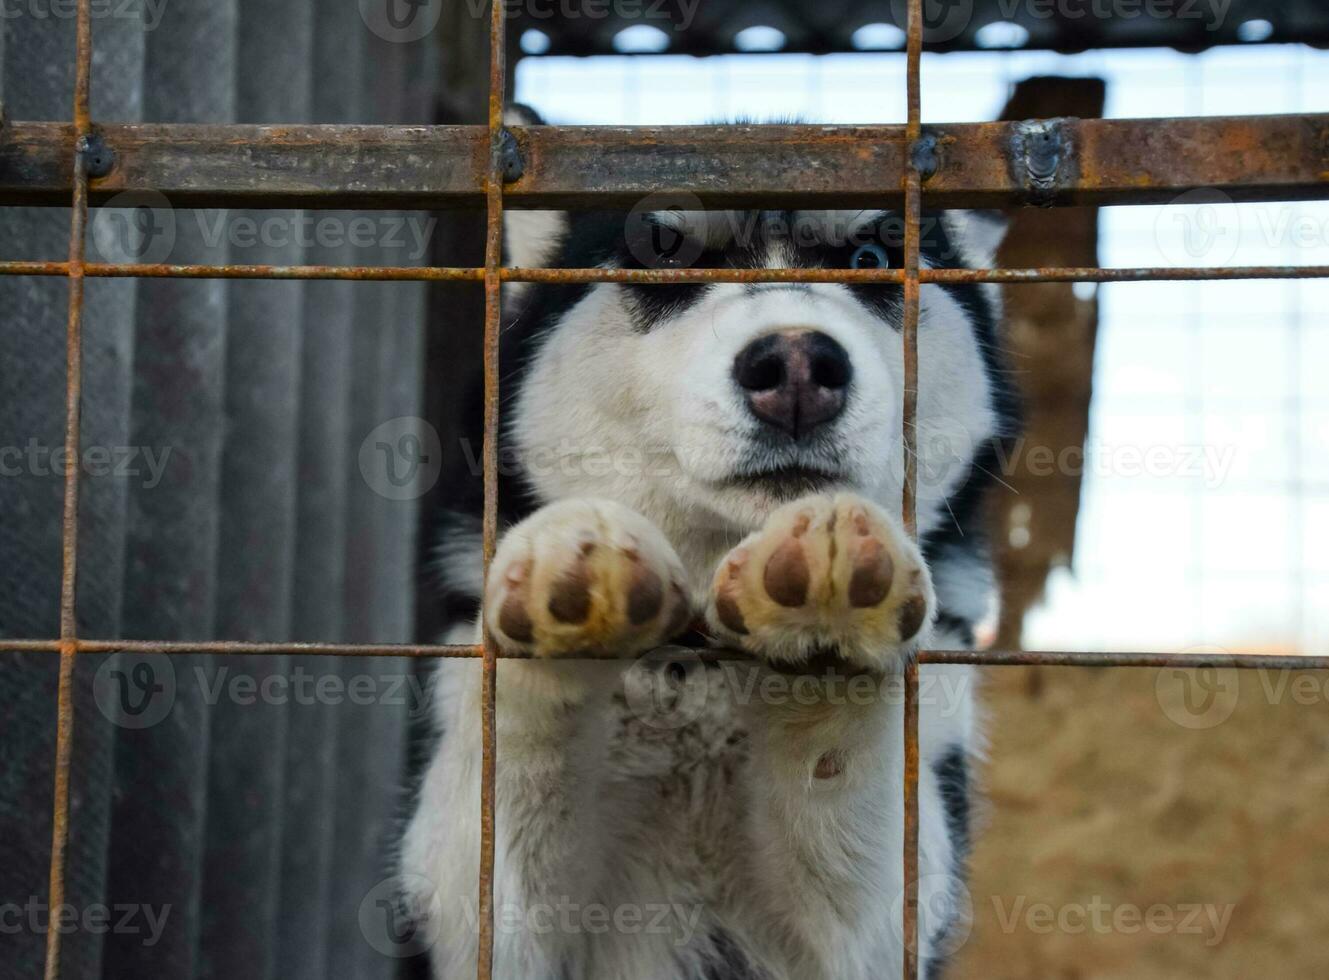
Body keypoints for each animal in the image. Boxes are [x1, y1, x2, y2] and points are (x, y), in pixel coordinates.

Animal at [398, 109, 1010, 978]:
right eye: (663, 252)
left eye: (870, 260)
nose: (796, 363)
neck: (704, 676)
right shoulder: (481, 925)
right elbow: (508, 774)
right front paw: (569, 573)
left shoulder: (875, 928)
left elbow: (844, 791)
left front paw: (829, 597)